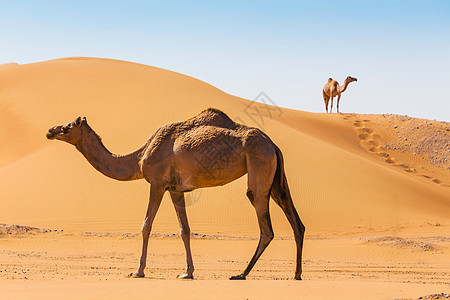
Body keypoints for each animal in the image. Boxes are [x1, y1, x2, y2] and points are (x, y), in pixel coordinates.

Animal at [45, 108, 306, 282]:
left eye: (68, 127)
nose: (49, 130)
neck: (139, 157)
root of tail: (273, 144)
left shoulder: (158, 183)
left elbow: (146, 225)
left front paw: (138, 271)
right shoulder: (175, 189)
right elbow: (185, 230)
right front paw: (187, 272)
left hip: (259, 167)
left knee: (266, 226)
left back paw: (241, 274)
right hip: (275, 177)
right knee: (295, 221)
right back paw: (296, 274)